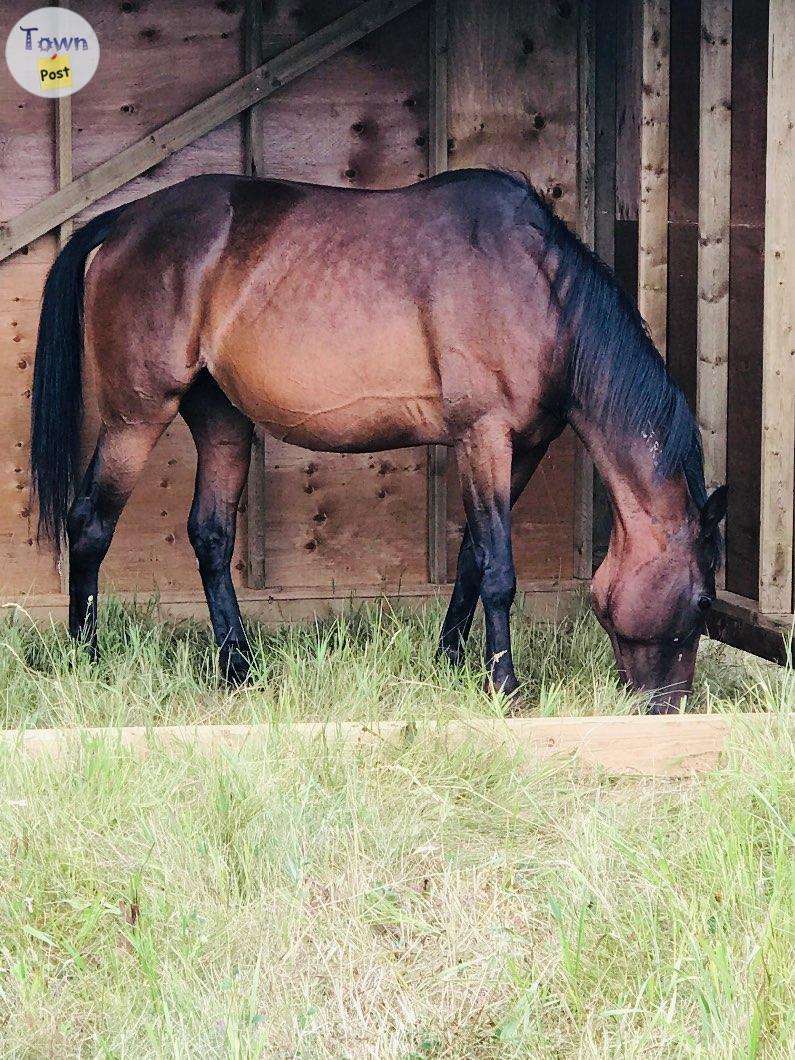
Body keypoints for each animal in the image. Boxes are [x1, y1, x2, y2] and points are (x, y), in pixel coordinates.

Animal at [31, 169, 729, 712]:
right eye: (700, 602)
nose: (667, 707)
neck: (538, 290)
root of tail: (123, 221)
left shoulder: (520, 448)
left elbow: (473, 559)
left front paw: (452, 662)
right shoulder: (485, 437)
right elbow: (499, 570)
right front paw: (504, 686)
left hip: (221, 420)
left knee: (210, 535)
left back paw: (240, 668)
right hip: (136, 417)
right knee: (90, 524)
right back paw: (87, 659)